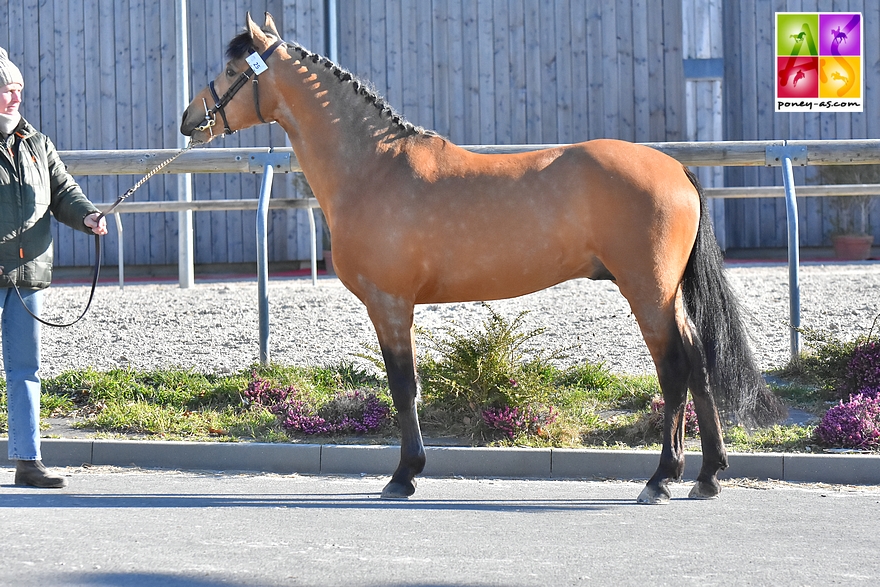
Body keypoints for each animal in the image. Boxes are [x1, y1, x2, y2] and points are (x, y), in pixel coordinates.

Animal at [179, 11, 784, 504]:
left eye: (232, 69)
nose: (188, 120)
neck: (373, 168)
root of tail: (674, 167)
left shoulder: (390, 304)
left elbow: (404, 386)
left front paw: (404, 475)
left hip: (647, 290)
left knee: (675, 369)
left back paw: (662, 479)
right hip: (667, 293)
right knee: (699, 363)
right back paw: (707, 475)